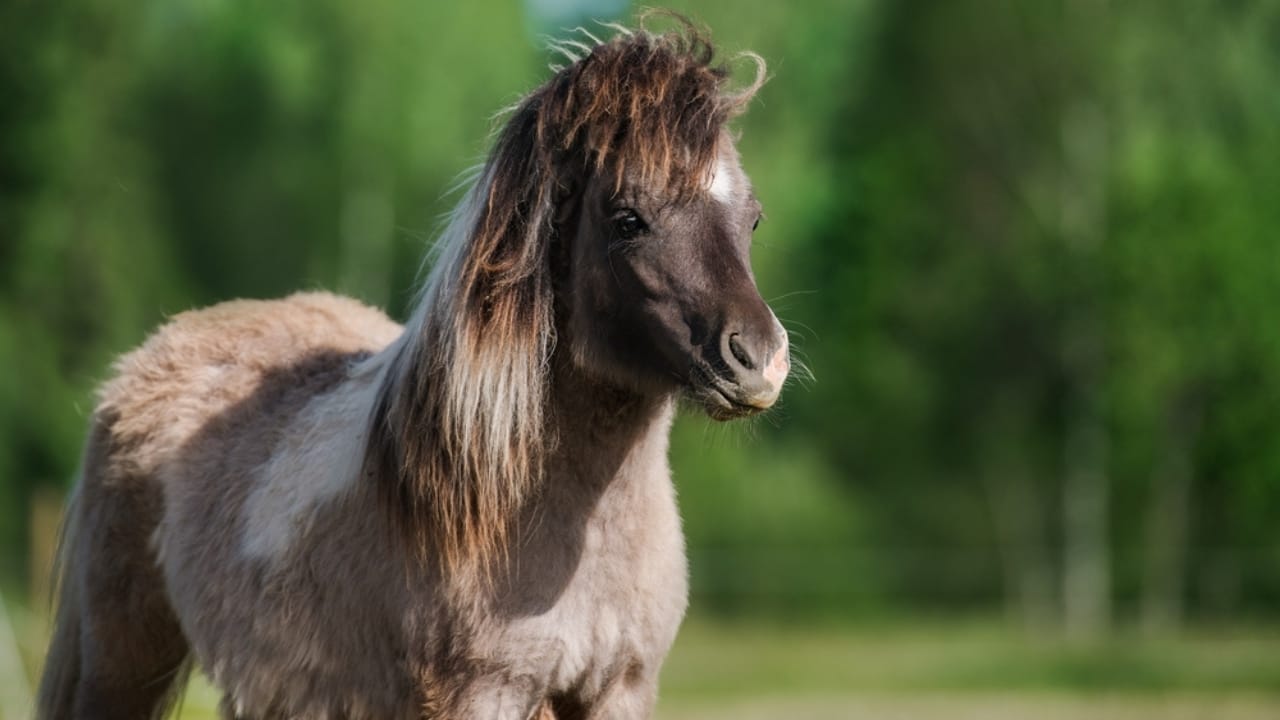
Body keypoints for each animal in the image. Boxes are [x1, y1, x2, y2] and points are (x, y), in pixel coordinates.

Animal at [37, 21, 787, 720]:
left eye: (751, 219)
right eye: (628, 218)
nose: (759, 361)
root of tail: (153, 355)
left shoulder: (620, 688)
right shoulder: (480, 691)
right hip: (121, 665)